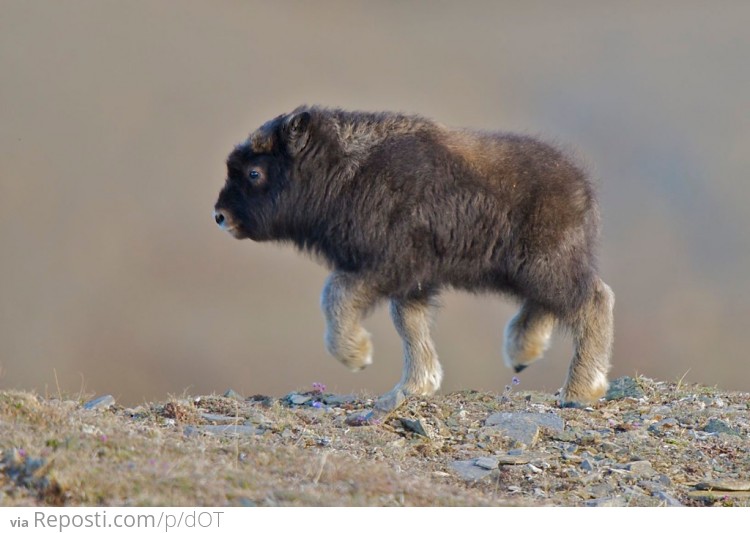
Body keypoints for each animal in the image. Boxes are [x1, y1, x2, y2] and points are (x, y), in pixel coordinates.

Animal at [213, 106, 616, 418]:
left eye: (254, 172)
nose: (220, 215)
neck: (345, 171)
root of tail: (582, 186)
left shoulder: (386, 265)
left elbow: (336, 295)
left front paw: (357, 356)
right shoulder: (411, 281)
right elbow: (409, 324)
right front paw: (416, 385)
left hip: (545, 265)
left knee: (593, 301)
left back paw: (581, 390)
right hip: (531, 271)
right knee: (548, 305)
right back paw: (522, 352)